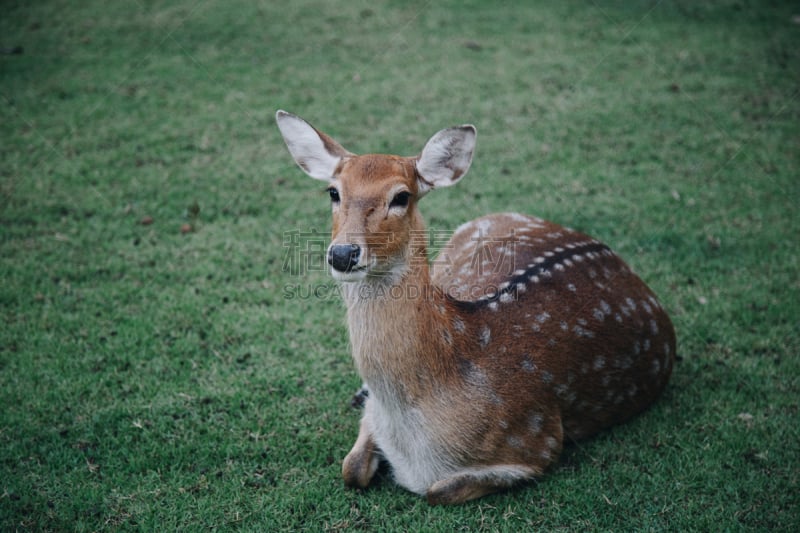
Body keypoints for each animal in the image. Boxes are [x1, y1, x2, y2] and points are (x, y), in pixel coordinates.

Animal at [276, 110, 676, 504]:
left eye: (401, 196)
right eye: (333, 191)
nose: (343, 253)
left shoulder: (540, 441)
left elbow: (439, 491)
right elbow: (352, 469)